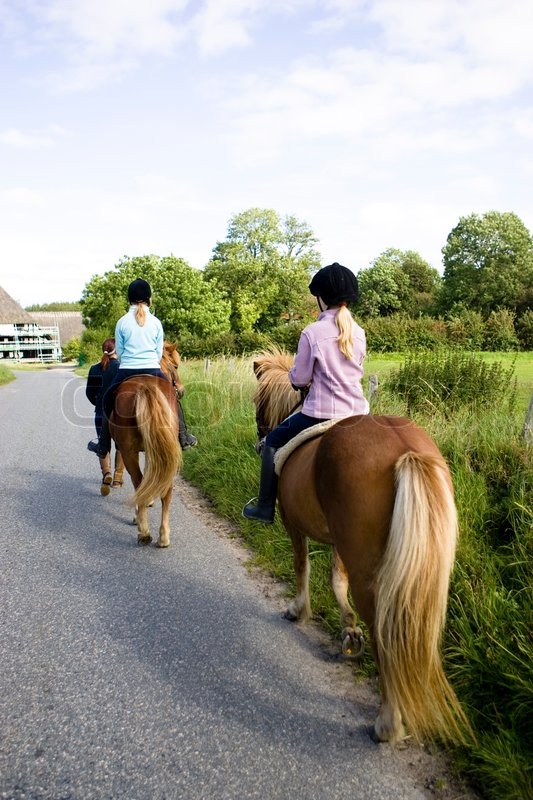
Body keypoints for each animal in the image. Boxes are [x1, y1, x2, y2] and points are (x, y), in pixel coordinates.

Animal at [109, 340, 184, 548]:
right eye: (176, 366)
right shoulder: (154, 449)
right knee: (166, 489)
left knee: (138, 481)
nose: (181, 390)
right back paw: (163, 536)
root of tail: (145, 387)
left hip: (129, 452)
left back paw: (143, 531)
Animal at [251, 346, 472, 748]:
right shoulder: (342, 542)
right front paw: (348, 631)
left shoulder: (294, 525)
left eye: (257, 400)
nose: (261, 438)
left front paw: (298, 610)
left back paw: (388, 722)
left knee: (385, 632)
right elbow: (336, 580)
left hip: (371, 571)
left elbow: (302, 566)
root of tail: (406, 451)